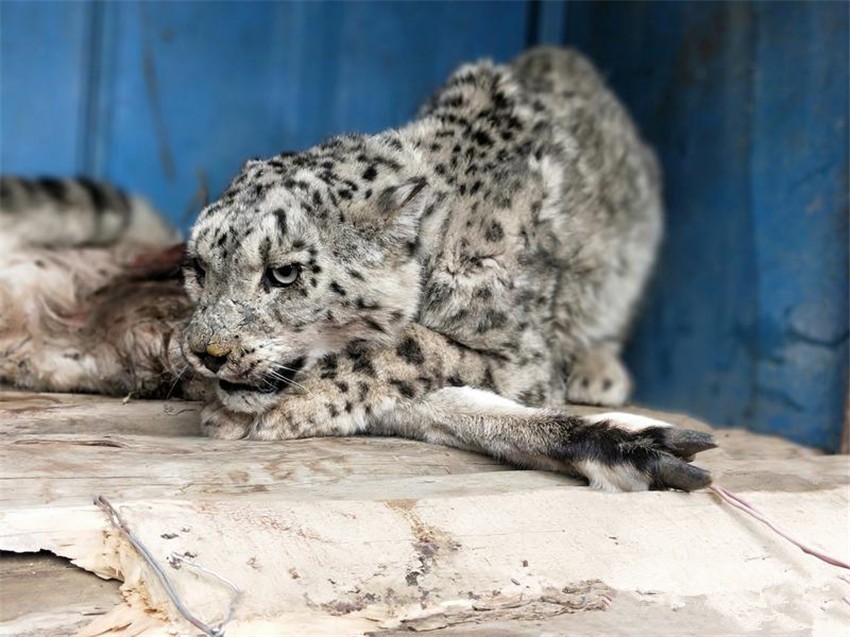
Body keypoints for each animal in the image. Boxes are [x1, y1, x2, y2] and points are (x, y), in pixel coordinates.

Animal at [0, 47, 715, 492]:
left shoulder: (519, 357)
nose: (205, 353)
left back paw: (600, 368)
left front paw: (277, 409)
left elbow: (404, 347)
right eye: (199, 267)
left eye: (284, 274)